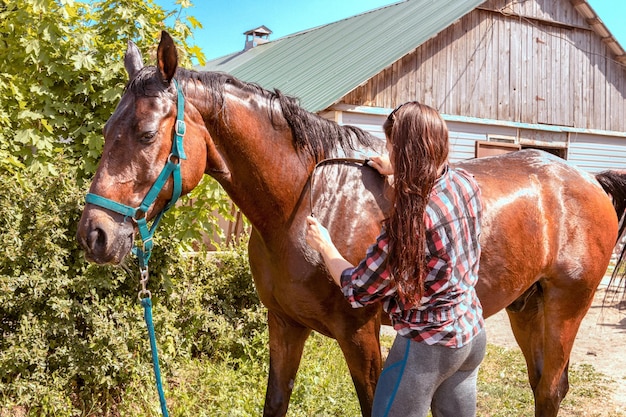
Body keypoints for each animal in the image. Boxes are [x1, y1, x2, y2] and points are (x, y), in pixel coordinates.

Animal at [77, 32, 624, 416]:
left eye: (146, 133)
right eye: (107, 129)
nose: (94, 234)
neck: (303, 204)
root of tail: (586, 179)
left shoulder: (360, 338)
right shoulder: (285, 326)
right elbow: (276, 401)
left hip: (564, 309)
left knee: (551, 390)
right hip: (526, 308)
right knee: (542, 387)